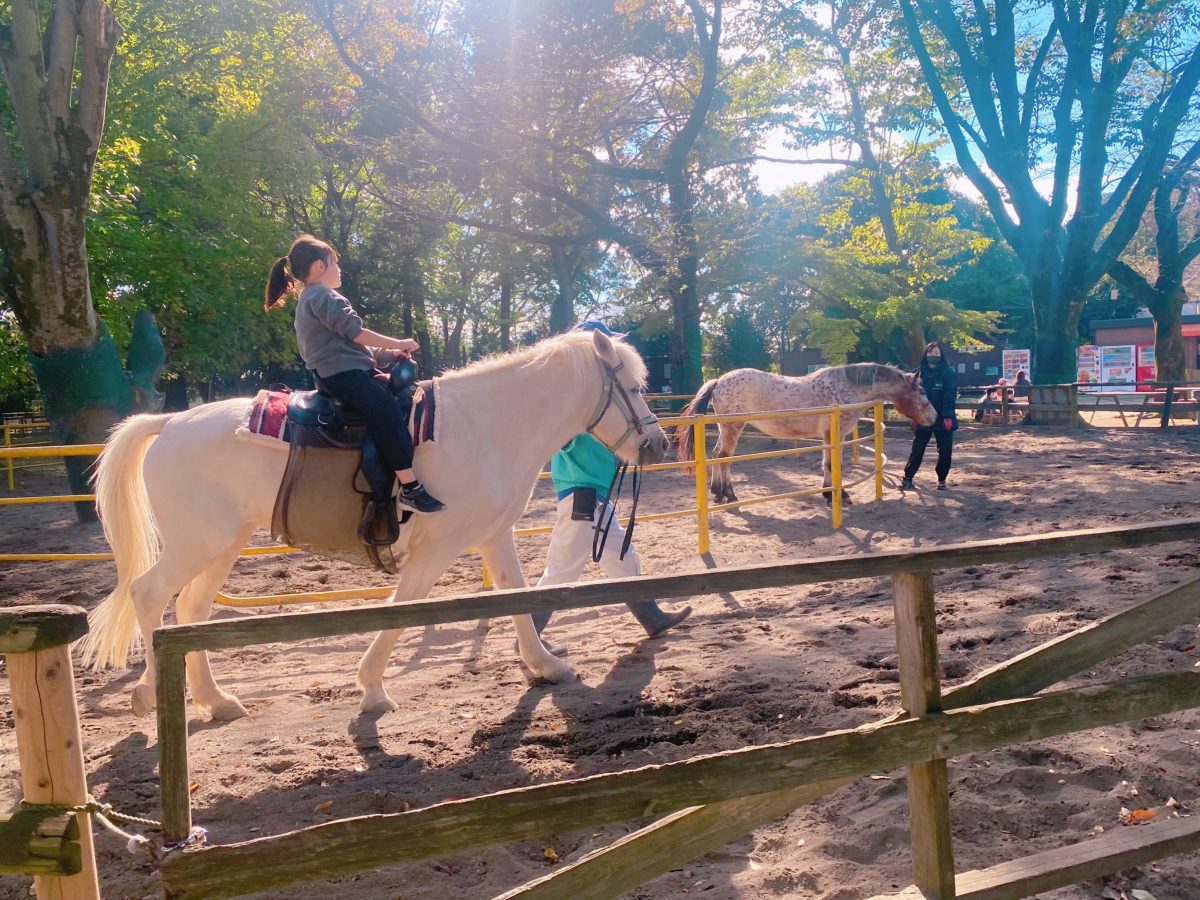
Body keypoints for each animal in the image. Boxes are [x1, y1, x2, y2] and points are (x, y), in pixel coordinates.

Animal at [81, 331, 667, 720]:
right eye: (636, 388)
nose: (658, 443)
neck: (484, 427)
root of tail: (170, 422)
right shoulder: (438, 548)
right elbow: (404, 609)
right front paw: (373, 689)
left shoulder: (493, 537)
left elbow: (518, 598)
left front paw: (547, 666)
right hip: (195, 545)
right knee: (149, 595)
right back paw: (154, 694)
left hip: (221, 546)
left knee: (191, 610)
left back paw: (214, 699)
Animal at [676, 367, 936, 508]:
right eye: (922, 391)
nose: (934, 417)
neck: (847, 388)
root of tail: (719, 380)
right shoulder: (836, 433)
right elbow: (833, 465)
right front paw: (839, 496)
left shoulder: (828, 436)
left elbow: (827, 464)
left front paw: (828, 494)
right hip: (733, 428)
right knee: (724, 457)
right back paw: (729, 495)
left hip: (724, 428)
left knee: (715, 455)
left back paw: (717, 493)